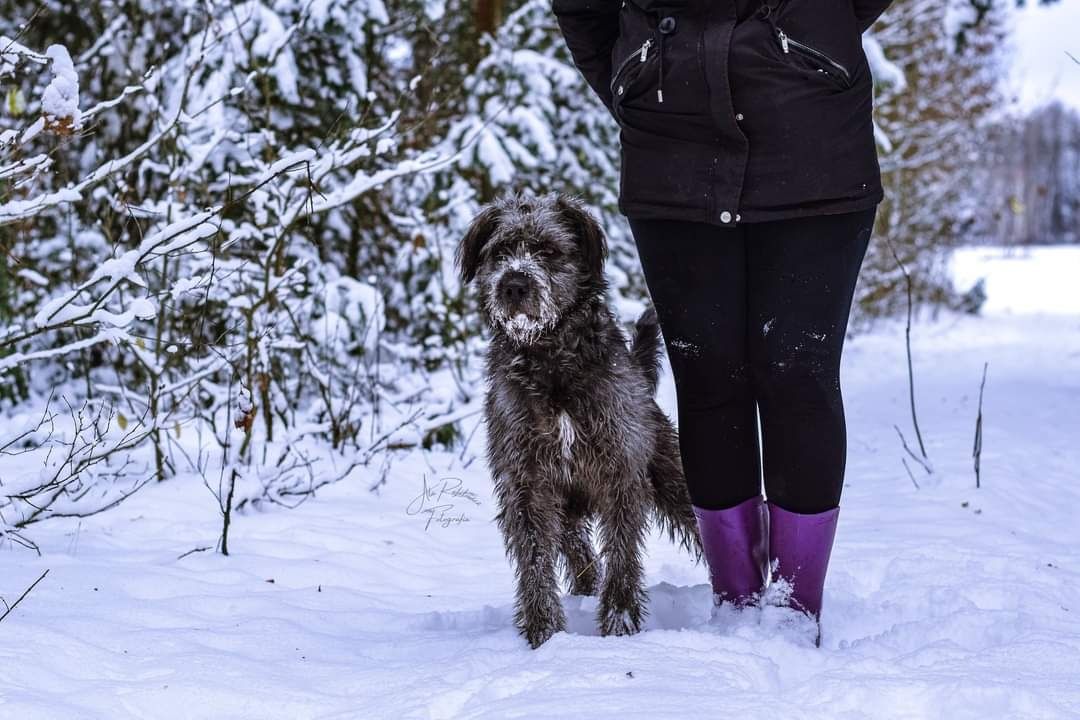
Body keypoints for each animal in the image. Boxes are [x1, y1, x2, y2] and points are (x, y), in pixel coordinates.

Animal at [457, 191, 704, 647]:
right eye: (500, 251)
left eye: (549, 251)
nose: (513, 285)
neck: (551, 360)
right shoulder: (527, 481)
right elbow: (535, 557)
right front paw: (544, 633)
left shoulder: (620, 472)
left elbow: (622, 552)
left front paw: (620, 623)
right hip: (567, 509)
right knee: (578, 551)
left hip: (674, 479)